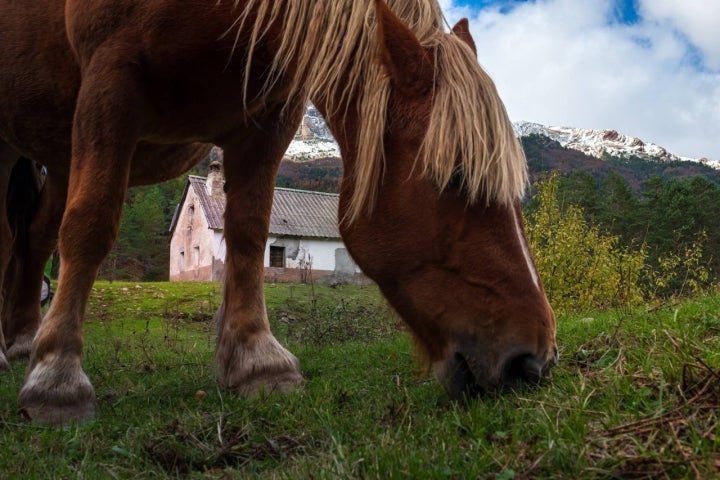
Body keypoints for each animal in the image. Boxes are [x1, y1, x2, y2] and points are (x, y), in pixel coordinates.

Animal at [0, 0, 560, 422]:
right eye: (457, 175)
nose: (534, 363)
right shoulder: (109, 82)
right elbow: (90, 225)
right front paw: (58, 379)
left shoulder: (268, 115)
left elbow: (249, 233)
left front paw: (257, 361)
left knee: (35, 239)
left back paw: (22, 340)